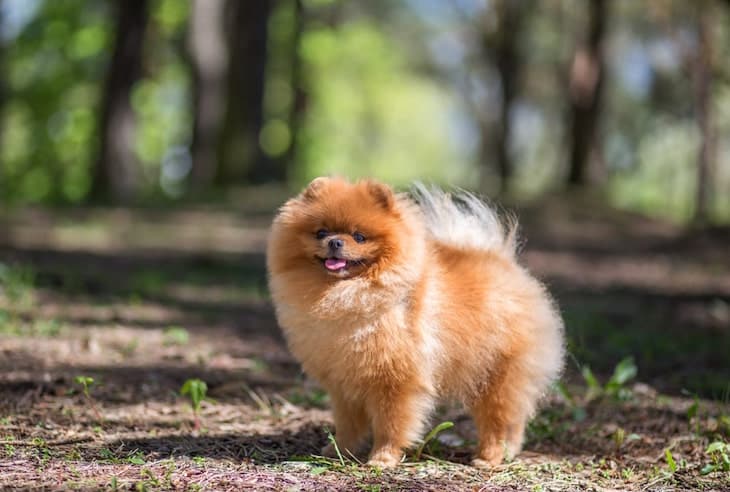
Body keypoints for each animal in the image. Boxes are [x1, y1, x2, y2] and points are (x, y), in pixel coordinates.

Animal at [268, 179, 564, 468]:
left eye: (359, 236)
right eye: (321, 232)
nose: (335, 242)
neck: (348, 294)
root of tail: (507, 264)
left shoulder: (396, 381)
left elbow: (391, 425)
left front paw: (382, 459)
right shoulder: (344, 383)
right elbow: (348, 425)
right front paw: (338, 450)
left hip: (497, 374)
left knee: (498, 420)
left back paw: (488, 458)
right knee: (514, 423)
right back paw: (508, 453)